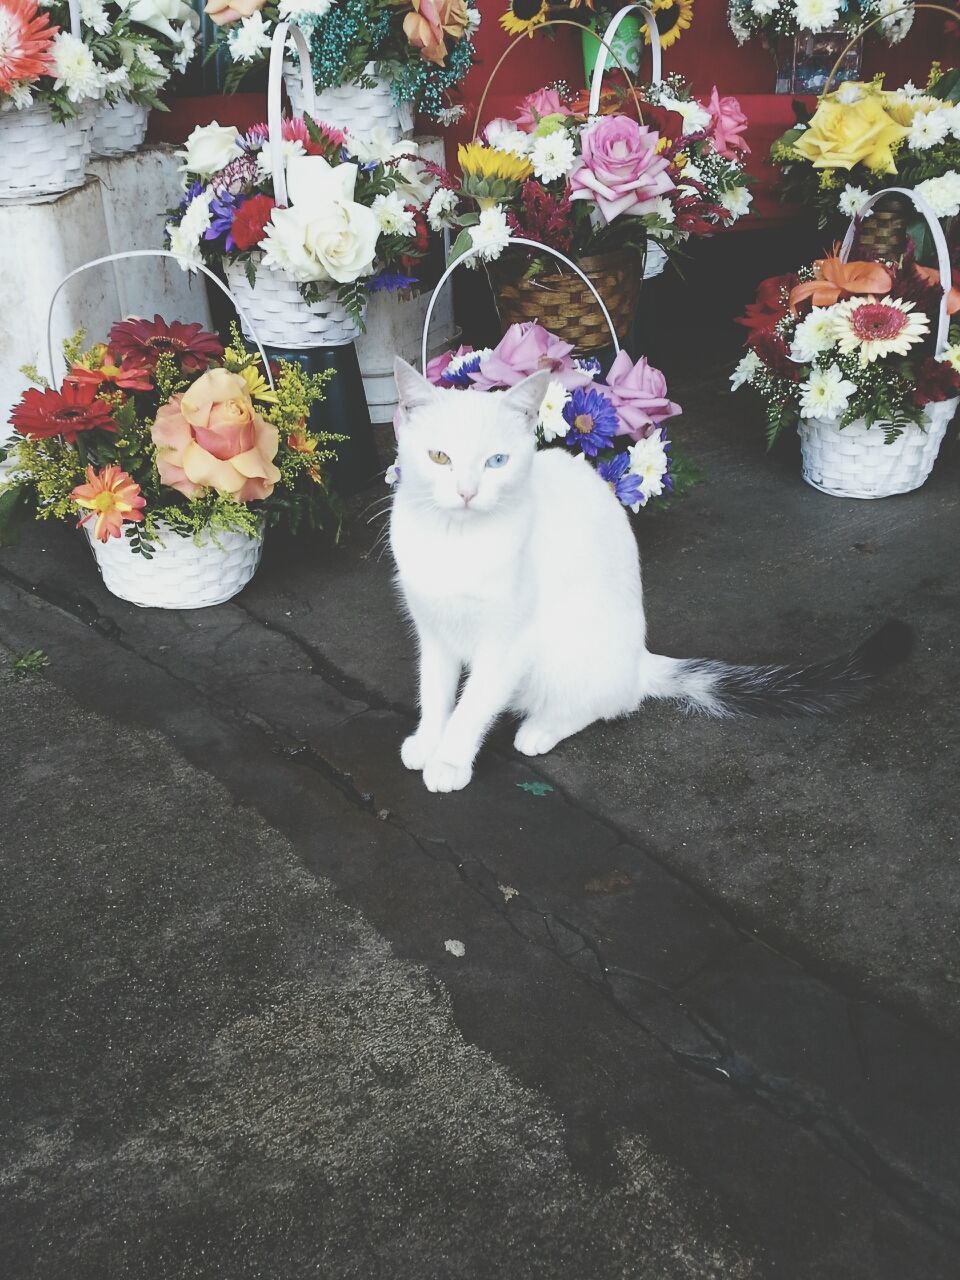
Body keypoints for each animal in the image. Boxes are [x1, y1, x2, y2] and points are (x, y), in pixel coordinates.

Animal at [389, 353, 911, 788]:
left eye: (497, 461)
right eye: (439, 457)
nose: (467, 492)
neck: (457, 542)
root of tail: (638, 659)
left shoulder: (507, 643)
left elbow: (474, 704)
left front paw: (449, 760)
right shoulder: (432, 631)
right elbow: (435, 690)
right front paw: (429, 741)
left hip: (568, 653)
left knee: (607, 703)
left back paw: (542, 728)